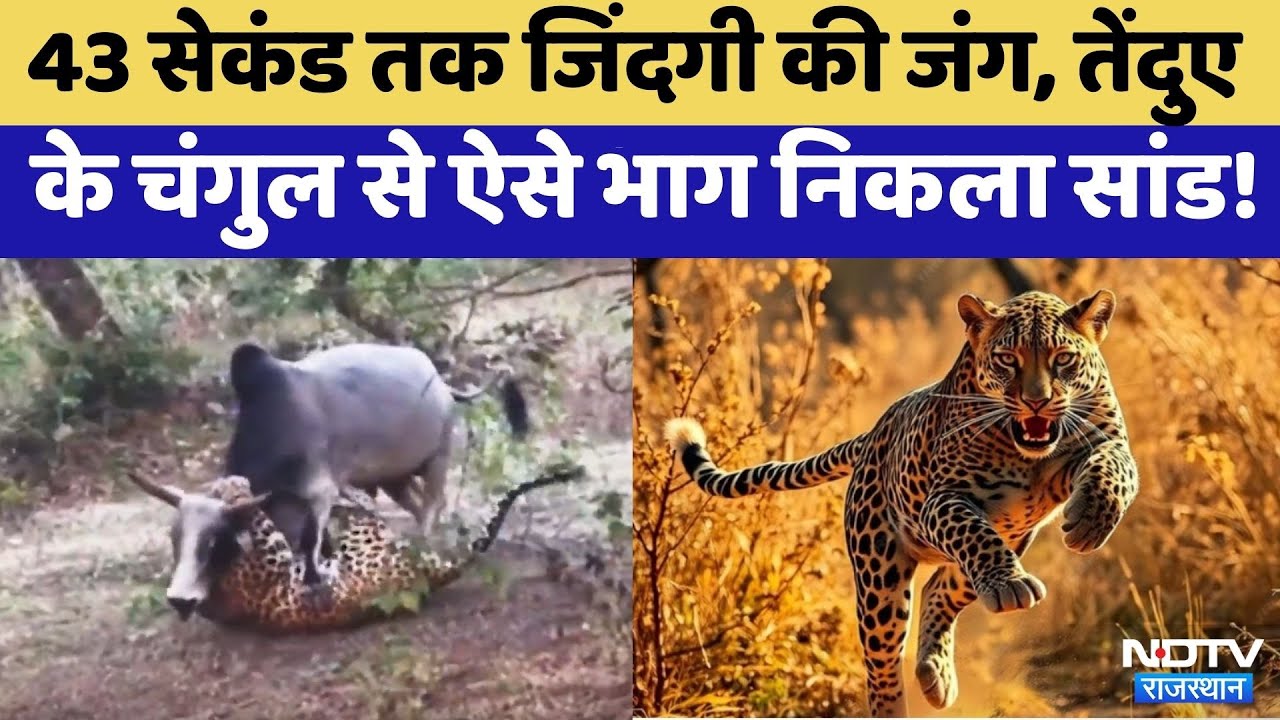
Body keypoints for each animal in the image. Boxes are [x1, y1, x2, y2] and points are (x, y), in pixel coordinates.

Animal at [127, 341, 530, 619]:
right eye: (175, 538)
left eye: (215, 541)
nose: (180, 599)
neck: (274, 423)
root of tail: (444, 385)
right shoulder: (284, 500)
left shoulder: (321, 491)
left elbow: (310, 541)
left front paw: (314, 584)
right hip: (395, 478)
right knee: (417, 506)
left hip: (436, 460)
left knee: (432, 506)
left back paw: (425, 543)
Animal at [191, 465, 585, 633]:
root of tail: (425, 576)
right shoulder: (271, 557)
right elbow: (258, 518)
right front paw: (233, 488)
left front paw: (229, 486)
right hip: (366, 541)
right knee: (361, 511)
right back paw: (347, 493)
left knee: (359, 508)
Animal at [665, 290, 1139, 717]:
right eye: (1008, 359)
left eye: (1063, 359)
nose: (1036, 401)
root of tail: (874, 434)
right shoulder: (944, 500)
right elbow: (974, 533)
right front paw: (1012, 582)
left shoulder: (1108, 443)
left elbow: (1116, 470)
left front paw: (1091, 521)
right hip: (880, 577)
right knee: (883, 664)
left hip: (1009, 541)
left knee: (940, 589)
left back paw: (936, 673)